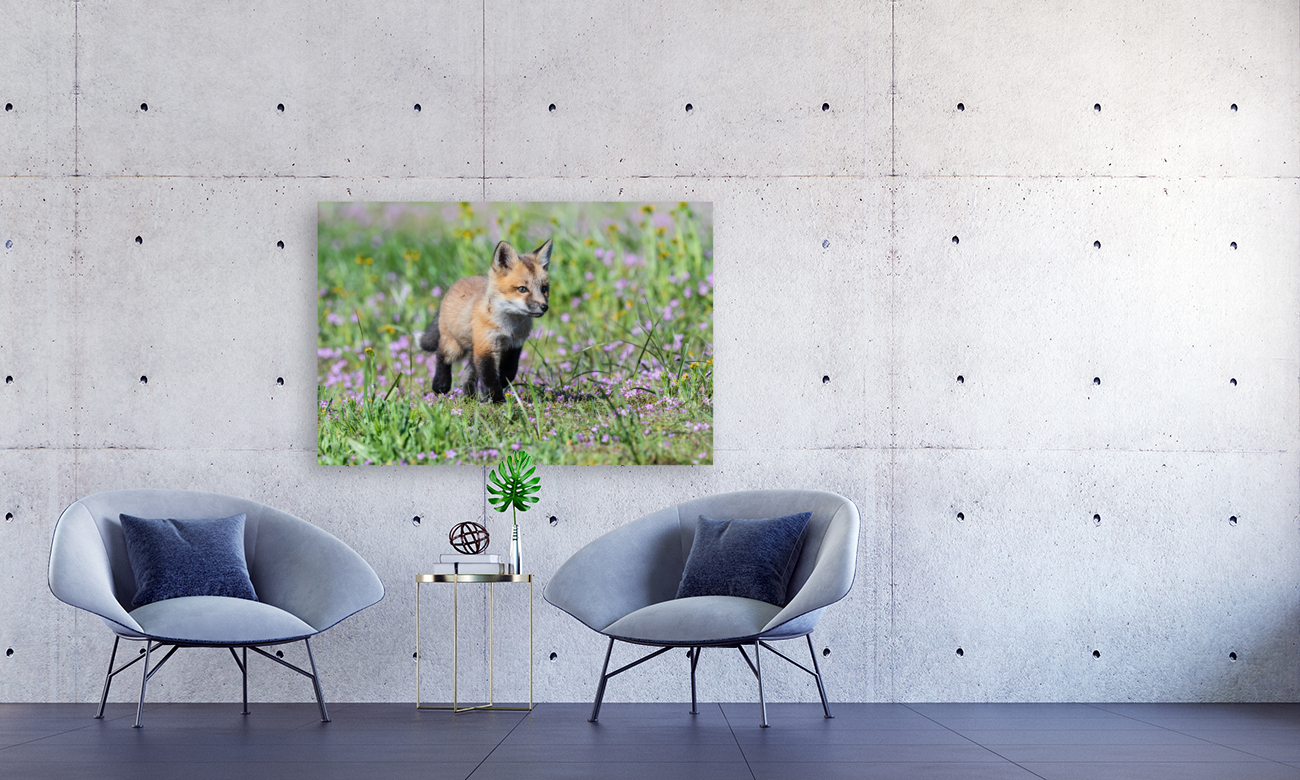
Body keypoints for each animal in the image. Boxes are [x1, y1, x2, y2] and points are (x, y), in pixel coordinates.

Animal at [417, 238, 551, 403]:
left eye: (544, 288)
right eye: (522, 289)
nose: (544, 307)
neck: (507, 327)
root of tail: (457, 283)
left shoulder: (514, 345)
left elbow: (508, 372)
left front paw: (496, 389)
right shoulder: (486, 346)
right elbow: (489, 377)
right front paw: (497, 401)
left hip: (473, 350)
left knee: (466, 374)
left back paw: (470, 398)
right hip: (455, 347)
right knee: (441, 354)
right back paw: (441, 384)